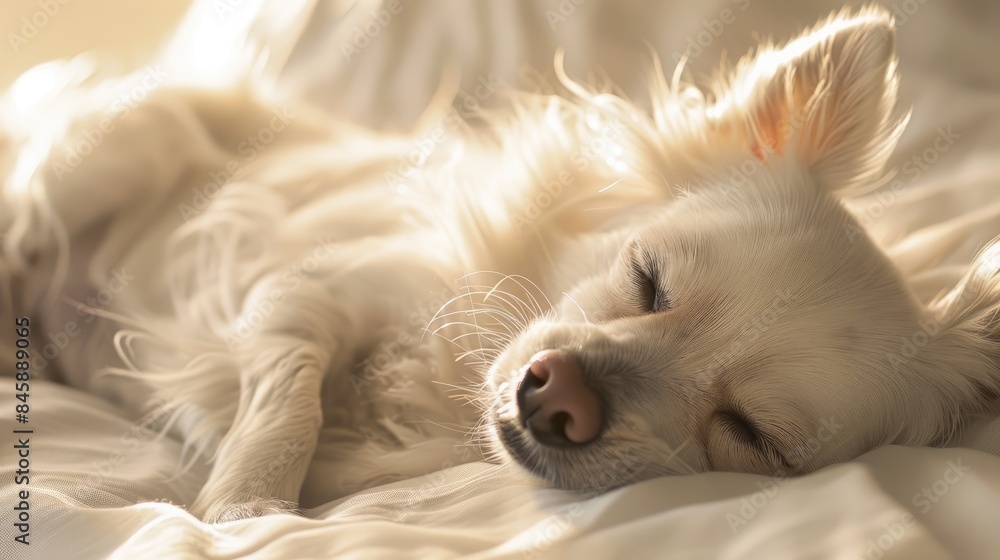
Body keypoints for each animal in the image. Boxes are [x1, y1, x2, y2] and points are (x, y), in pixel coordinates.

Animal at [1, 6, 1000, 524]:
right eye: (647, 279)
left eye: (751, 436)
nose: (556, 396)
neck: (444, 399)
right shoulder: (306, 288)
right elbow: (290, 393)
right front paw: (247, 506)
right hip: (116, 147)